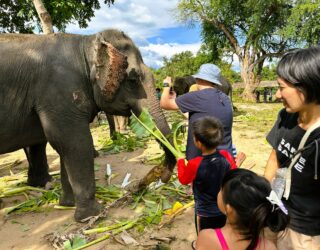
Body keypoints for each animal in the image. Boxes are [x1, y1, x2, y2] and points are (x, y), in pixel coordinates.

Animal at [0, 28, 175, 221]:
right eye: (133, 79)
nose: (161, 176)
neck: (86, 43)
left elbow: (66, 147)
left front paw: (67, 204)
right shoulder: (60, 91)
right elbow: (75, 142)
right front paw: (93, 215)